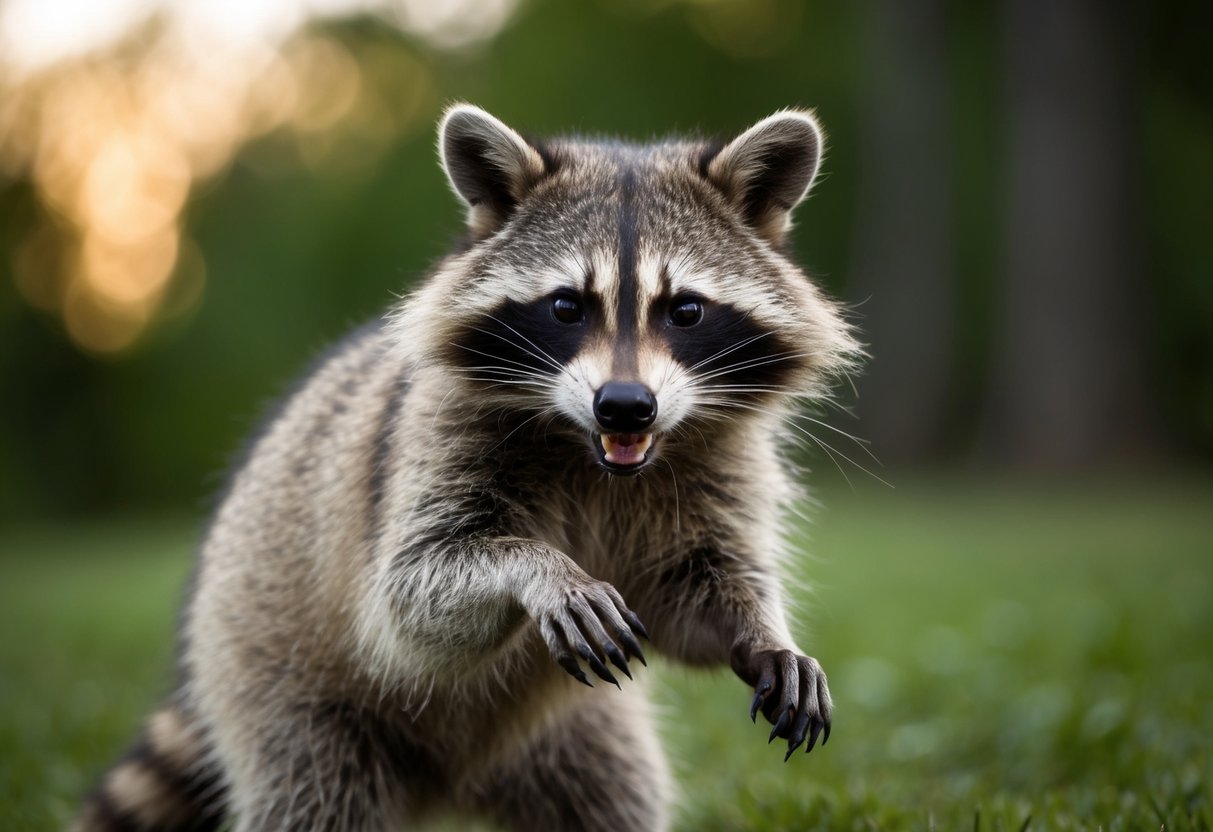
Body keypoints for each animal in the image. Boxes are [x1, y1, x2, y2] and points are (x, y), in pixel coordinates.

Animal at [73, 104, 860, 832]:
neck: (595, 456)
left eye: (685, 310)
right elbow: (409, 595)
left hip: (574, 736)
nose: (625, 407)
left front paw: (763, 633)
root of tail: (442, 787)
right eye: (567, 306)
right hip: (271, 675)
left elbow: (692, 590)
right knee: (314, 793)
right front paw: (539, 568)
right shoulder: (432, 439)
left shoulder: (718, 463)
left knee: (613, 797)